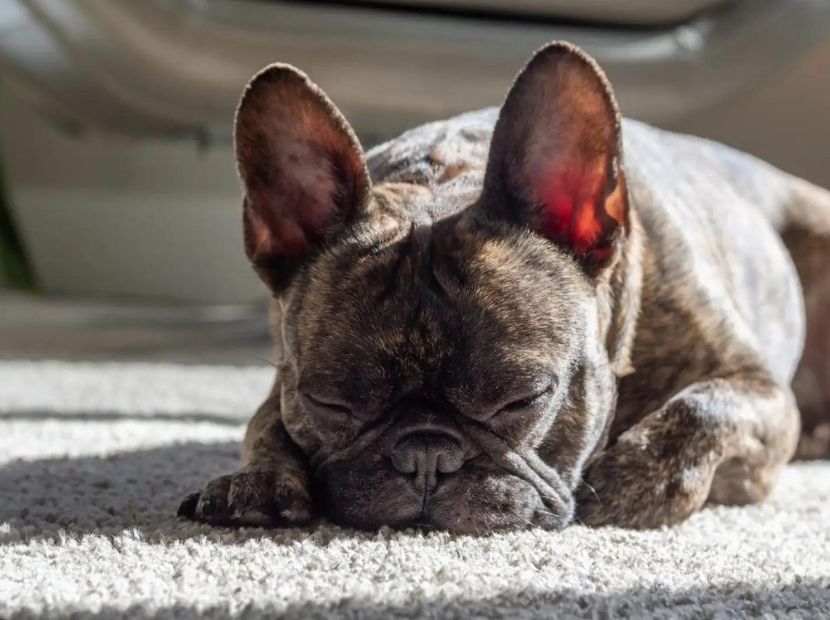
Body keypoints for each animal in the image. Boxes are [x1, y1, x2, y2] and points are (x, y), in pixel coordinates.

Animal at [180, 41, 830, 532]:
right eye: (329, 403)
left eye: (523, 399)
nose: (426, 455)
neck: (445, 175)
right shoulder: (282, 383)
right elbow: (263, 424)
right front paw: (259, 480)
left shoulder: (759, 388)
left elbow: (701, 408)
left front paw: (633, 479)